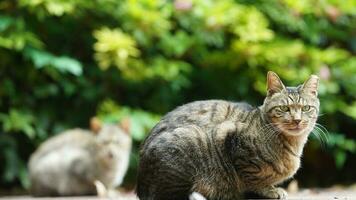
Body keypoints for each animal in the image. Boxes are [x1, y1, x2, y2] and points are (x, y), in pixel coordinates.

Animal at [136, 72, 320, 200]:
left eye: (306, 108)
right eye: (284, 108)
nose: (297, 120)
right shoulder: (234, 143)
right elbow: (253, 180)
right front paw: (269, 190)